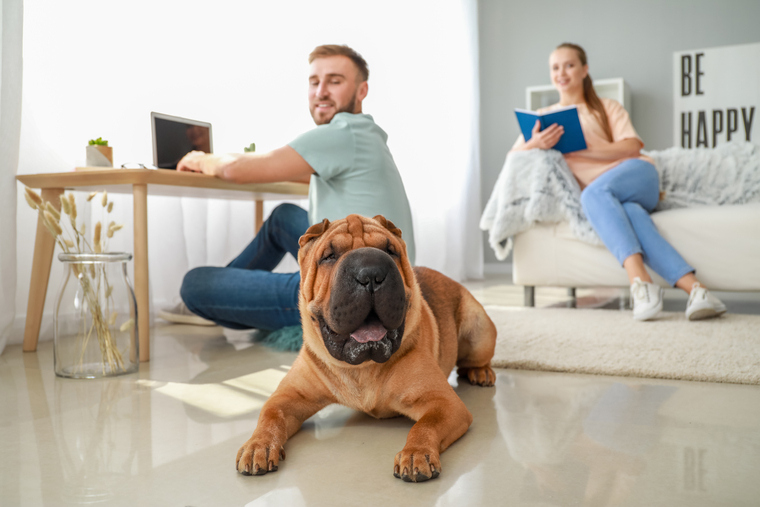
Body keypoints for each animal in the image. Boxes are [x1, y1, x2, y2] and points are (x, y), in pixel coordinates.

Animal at [238, 214, 498, 484]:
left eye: (390, 251)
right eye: (329, 256)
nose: (371, 273)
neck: (361, 368)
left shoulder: (444, 403)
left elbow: (425, 425)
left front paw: (416, 453)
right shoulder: (287, 397)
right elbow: (270, 417)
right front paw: (258, 445)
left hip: (478, 330)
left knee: (474, 360)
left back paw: (481, 372)